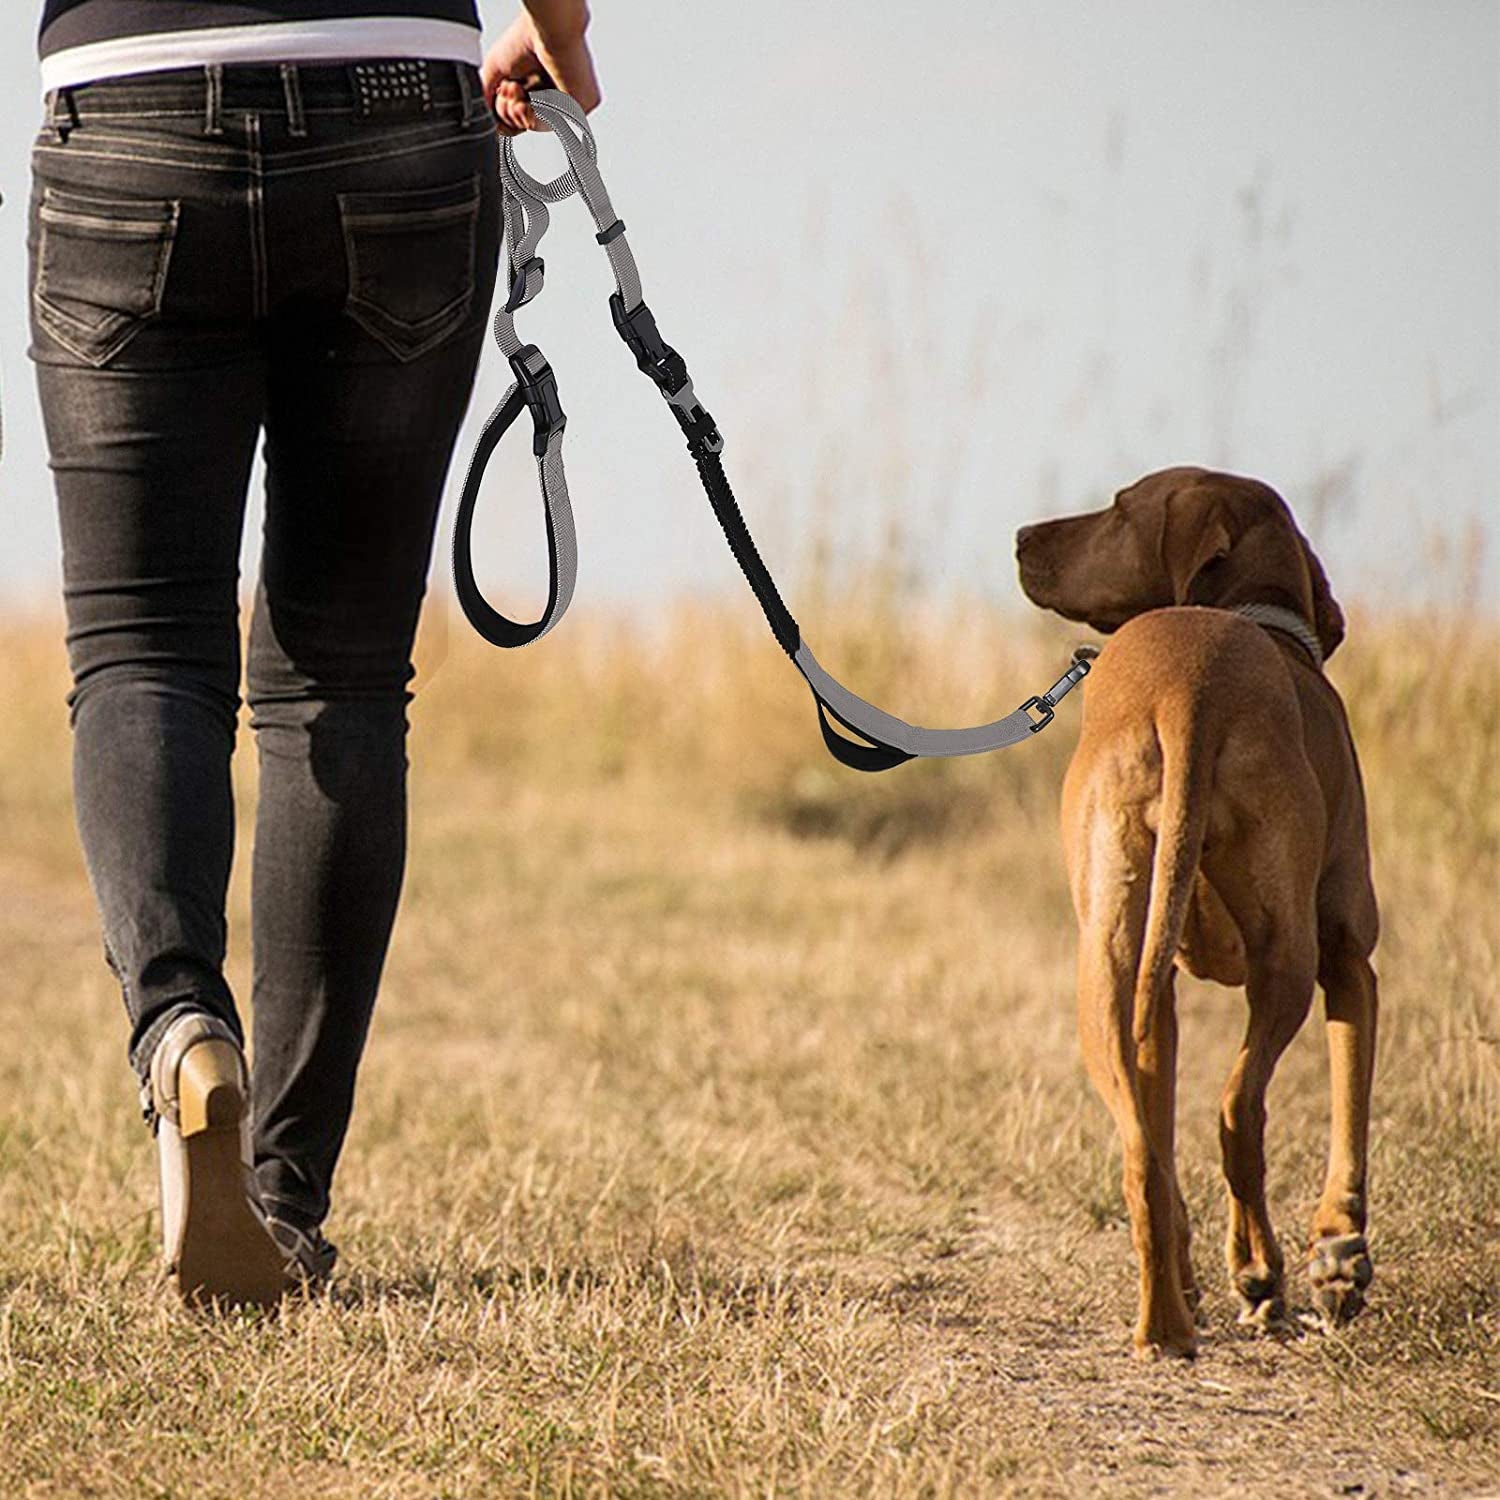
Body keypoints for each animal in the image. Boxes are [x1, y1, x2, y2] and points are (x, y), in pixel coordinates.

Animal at [1020, 465, 1380, 1362]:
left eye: (1119, 509)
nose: (1020, 537)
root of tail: (1191, 687)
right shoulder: (1349, 958)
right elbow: (1349, 1116)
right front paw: (1339, 1257)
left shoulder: (1162, 993)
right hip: (1286, 962)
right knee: (1237, 1112)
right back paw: (1263, 1277)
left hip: (1106, 968)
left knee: (1143, 1153)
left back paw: (1167, 1324)